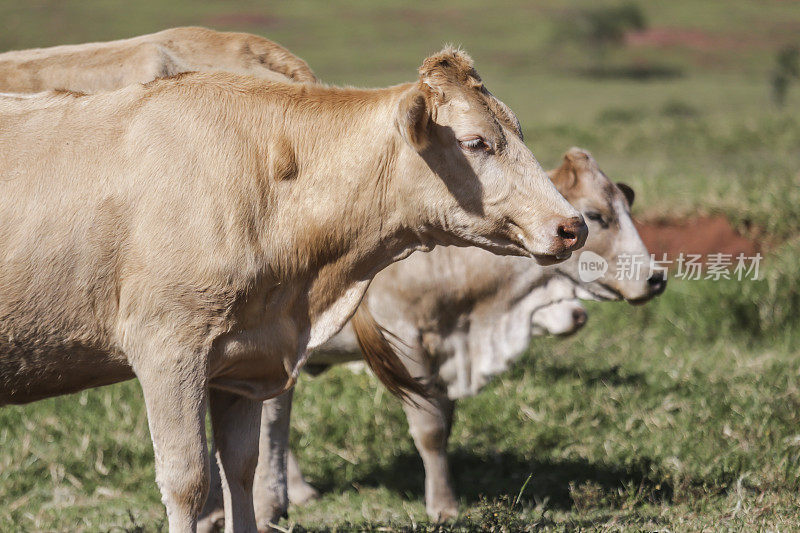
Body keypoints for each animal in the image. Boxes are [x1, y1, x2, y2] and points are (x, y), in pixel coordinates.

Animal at [1, 47, 588, 528]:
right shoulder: (167, 349)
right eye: (476, 142)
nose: (572, 225)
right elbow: (189, 481)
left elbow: (241, 470)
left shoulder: (241, 359)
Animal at [223, 148, 664, 524]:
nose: (656, 278)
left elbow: (445, 423)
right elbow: (430, 429)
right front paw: (444, 506)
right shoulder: (406, 342)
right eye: (595, 215)